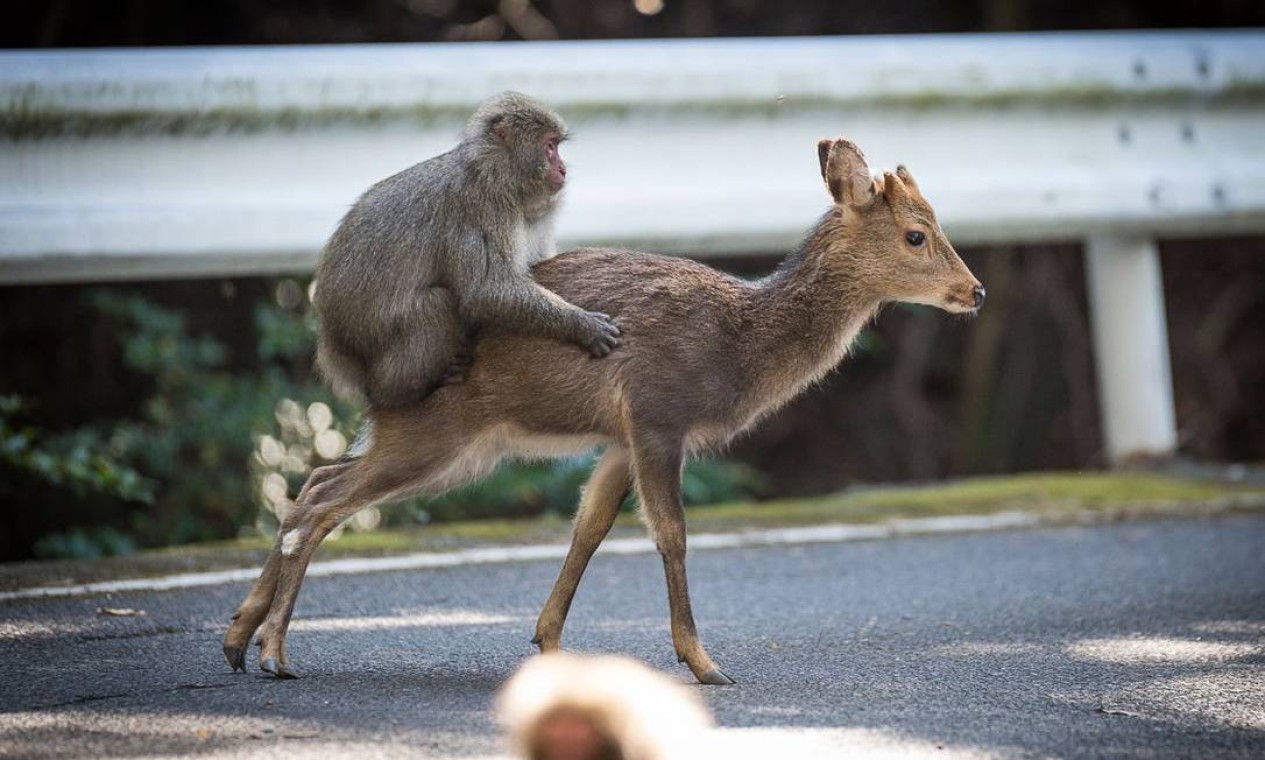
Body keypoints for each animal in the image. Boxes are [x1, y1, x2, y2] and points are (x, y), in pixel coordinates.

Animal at [222, 134, 981, 682]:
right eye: (916, 234)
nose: (973, 291)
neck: (737, 345)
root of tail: (370, 376)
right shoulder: (657, 412)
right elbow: (670, 533)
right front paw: (703, 664)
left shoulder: (619, 437)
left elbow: (587, 527)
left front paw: (550, 645)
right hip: (438, 432)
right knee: (321, 502)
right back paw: (274, 653)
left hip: (452, 447)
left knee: (313, 483)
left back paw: (237, 638)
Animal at [311, 90, 617, 409]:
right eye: (549, 147)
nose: (562, 169)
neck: (494, 172)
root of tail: (334, 345)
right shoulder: (482, 208)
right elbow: (487, 291)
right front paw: (582, 325)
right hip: (371, 340)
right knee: (435, 303)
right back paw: (400, 392)